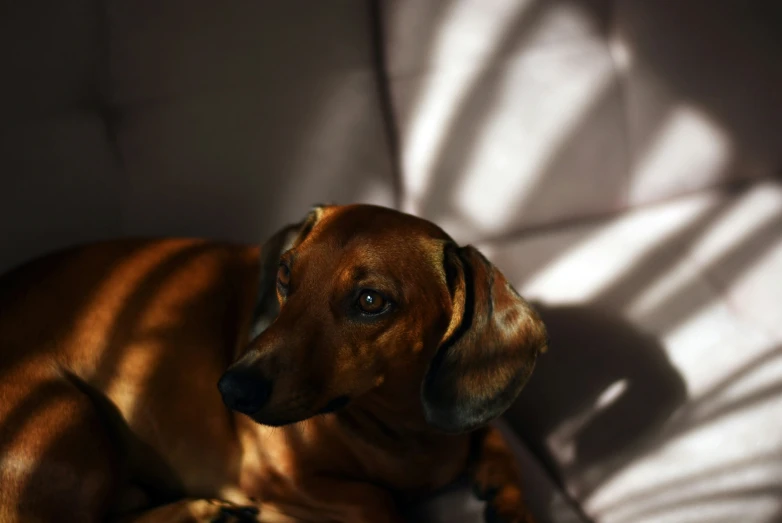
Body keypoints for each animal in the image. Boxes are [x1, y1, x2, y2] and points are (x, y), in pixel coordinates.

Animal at [0, 206, 548, 523]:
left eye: (371, 301)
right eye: (285, 275)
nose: (231, 390)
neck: (400, 429)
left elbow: (494, 441)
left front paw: (508, 501)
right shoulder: (275, 477)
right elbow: (376, 500)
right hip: (70, 417)